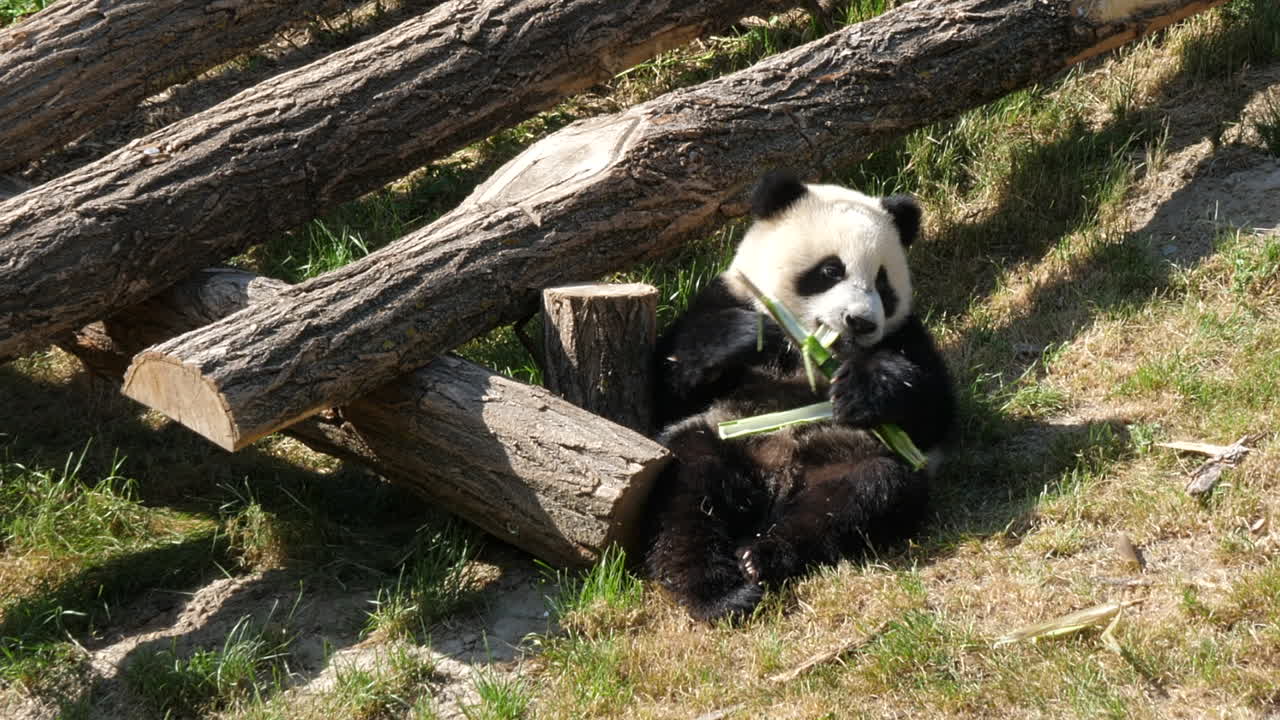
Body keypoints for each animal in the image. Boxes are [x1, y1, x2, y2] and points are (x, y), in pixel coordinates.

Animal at [644, 171, 955, 622]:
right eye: (831, 269)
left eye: (882, 283)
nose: (861, 322)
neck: (809, 348)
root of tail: (777, 481)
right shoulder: (723, 298)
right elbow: (668, 387)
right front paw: (752, 335)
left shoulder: (905, 334)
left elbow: (933, 410)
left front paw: (862, 391)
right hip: (720, 439)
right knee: (688, 497)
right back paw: (720, 593)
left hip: (843, 456)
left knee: (860, 496)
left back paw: (763, 556)